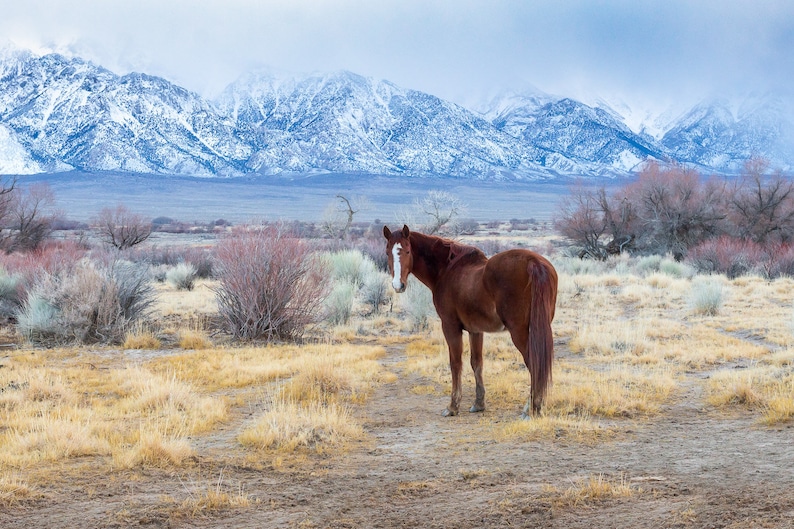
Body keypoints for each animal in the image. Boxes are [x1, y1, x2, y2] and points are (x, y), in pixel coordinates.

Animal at [383, 225, 558, 418]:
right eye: (387, 252)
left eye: (407, 251)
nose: (398, 285)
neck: (447, 270)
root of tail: (534, 263)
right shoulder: (476, 330)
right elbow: (477, 363)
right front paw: (479, 403)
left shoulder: (450, 327)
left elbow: (456, 363)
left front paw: (453, 406)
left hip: (519, 332)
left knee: (534, 364)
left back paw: (532, 408)